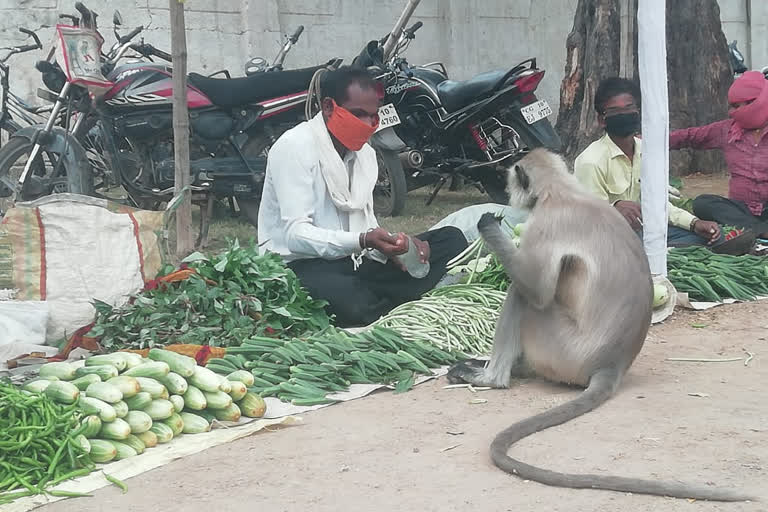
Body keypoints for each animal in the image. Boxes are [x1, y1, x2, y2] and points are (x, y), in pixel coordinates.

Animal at [448, 147, 760, 500]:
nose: (505, 192)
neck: (561, 191)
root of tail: (612, 364)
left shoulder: (545, 223)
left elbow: (538, 291)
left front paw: (488, 224)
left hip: (560, 350)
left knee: (523, 294)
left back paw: (493, 378)